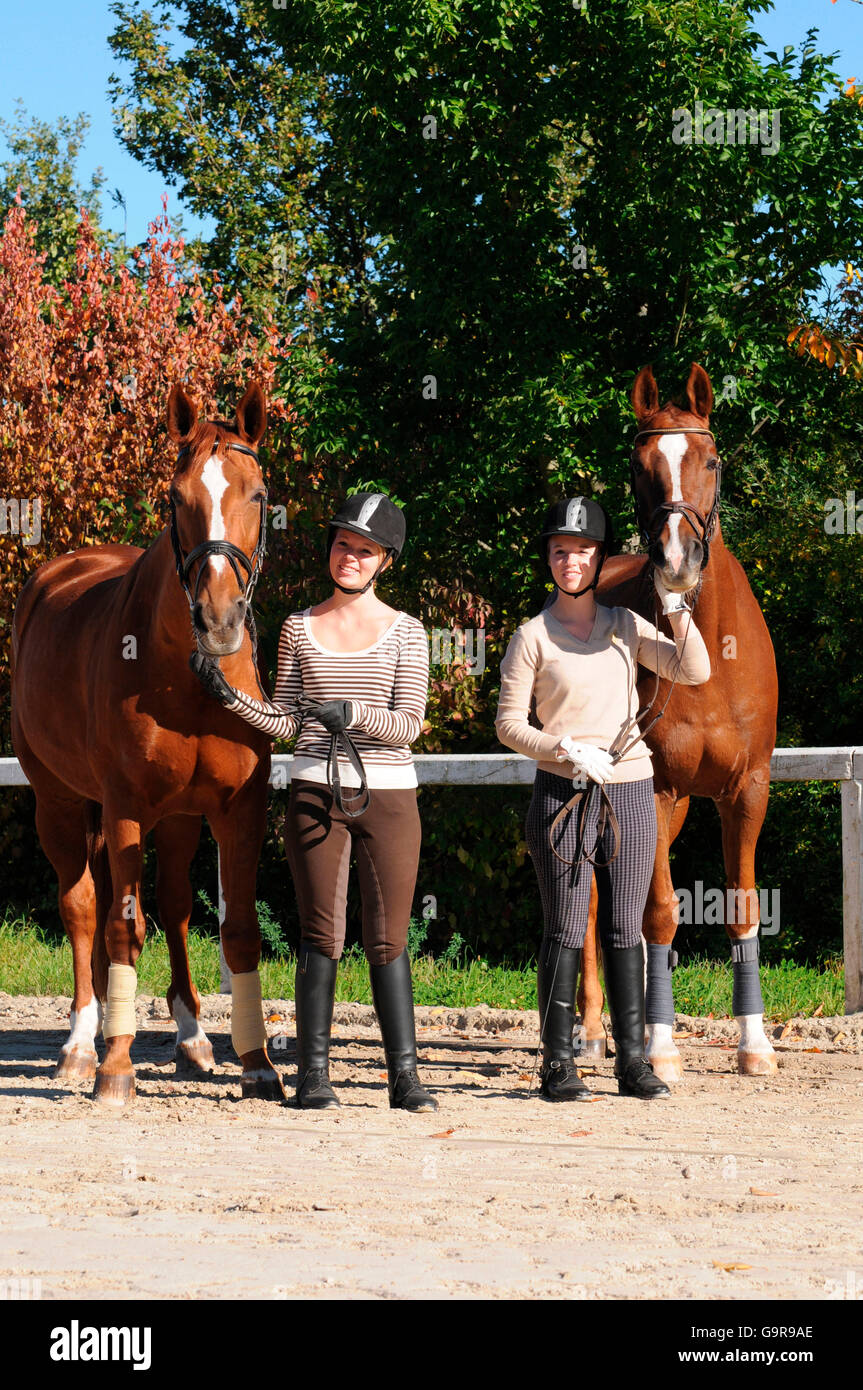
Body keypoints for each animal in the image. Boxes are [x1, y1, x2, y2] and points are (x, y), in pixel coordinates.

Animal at [10, 380, 284, 1106]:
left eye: (258, 495)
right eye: (176, 496)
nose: (218, 620)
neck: (184, 680)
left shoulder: (236, 810)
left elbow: (236, 931)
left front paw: (258, 1066)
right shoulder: (126, 807)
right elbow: (121, 928)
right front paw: (115, 1066)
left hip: (180, 817)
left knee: (176, 908)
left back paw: (190, 1039)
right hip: (58, 802)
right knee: (83, 908)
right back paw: (82, 1042)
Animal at [576, 363, 779, 1083]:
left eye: (710, 460)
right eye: (638, 468)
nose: (675, 560)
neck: (706, 656)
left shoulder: (745, 791)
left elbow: (742, 907)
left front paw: (754, 1044)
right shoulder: (659, 789)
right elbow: (660, 914)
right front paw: (661, 1051)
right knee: (593, 903)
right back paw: (590, 1034)